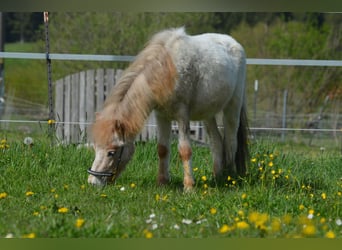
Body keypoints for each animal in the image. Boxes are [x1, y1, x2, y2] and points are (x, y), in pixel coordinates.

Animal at [87, 27, 248, 190]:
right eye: (95, 148)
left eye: (111, 152)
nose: (93, 182)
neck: (167, 70)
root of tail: (234, 43)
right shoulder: (162, 116)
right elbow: (162, 149)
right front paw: (162, 182)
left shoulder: (182, 116)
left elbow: (185, 150)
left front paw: (189, 187)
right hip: (208, 114)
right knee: (217, 142)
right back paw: (217, 177)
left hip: (232, 108)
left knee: (231, 142)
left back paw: (230, 178)